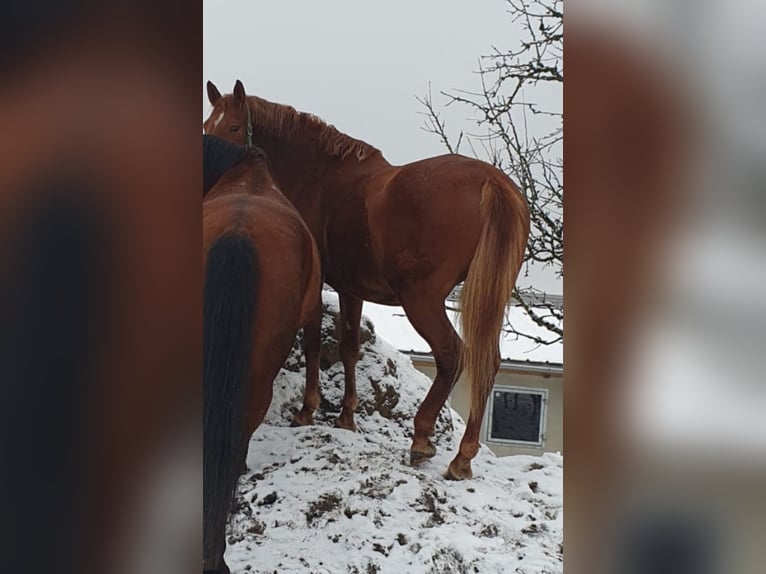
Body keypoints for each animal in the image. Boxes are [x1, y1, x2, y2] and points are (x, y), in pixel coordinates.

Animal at [202, 79, 536, 480]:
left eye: (235, 126)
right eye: (208, 124)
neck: (320, 175)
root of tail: (492, 181)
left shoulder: (319, 287)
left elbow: (313, 343)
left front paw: (307, 409)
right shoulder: (352, 288)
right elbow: (349, 347)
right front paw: (347, 416)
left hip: (422, 300)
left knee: (452, 354)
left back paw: (423, 438)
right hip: (490, 299)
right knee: (488, 362)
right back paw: (462, 456)